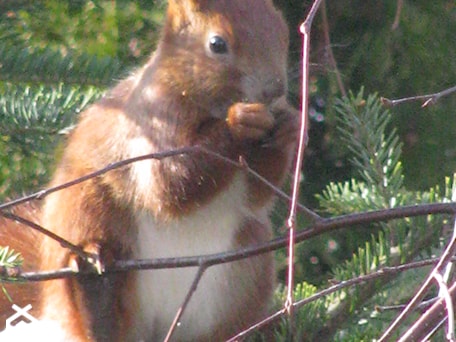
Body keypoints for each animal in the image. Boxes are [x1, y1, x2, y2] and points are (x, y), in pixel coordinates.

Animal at [0, 1, 298, 340]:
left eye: (284, 33)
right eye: (217, 44)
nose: (275, 90)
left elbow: (257, 194)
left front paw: (290, 124)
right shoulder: (151, 126)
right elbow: (171, 183)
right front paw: (240, 121)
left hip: (250, 263)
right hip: (85, 206)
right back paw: (95, 290)